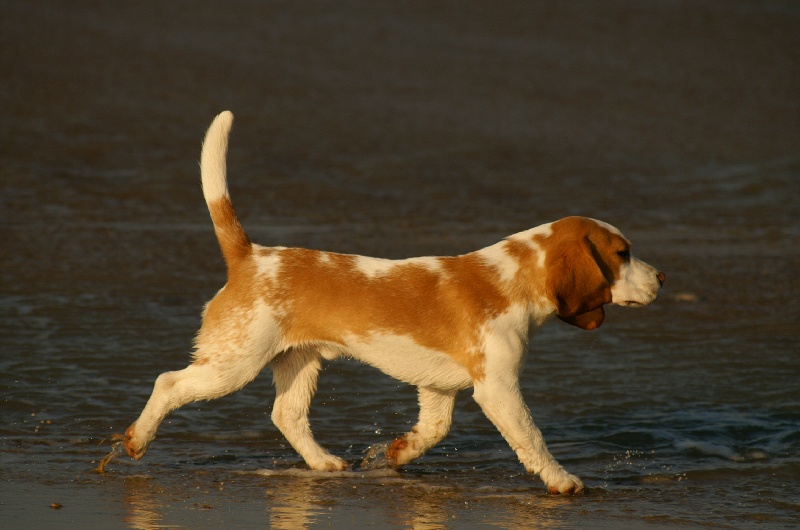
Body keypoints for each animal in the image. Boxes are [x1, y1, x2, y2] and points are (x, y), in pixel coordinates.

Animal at [123, 110, 664, 490]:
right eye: (623, 253)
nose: (661, 277)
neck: (510, 277)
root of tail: (251, 256)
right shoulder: (498, 390)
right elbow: (531, 438)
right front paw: (561, 480)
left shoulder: (438, 390)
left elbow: (434, 431)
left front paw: (396, 455)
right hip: (233, 365)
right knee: (169, 382)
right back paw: (137, 439)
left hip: (299, 362)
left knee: (286, 415)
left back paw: (324, 462)